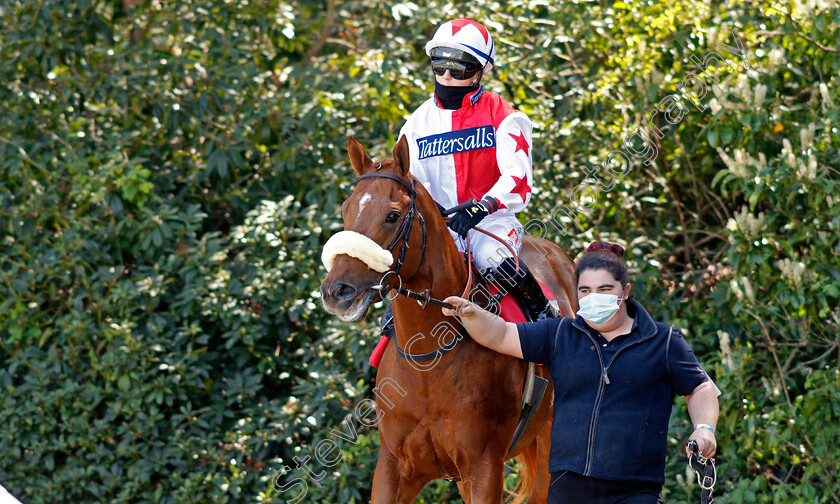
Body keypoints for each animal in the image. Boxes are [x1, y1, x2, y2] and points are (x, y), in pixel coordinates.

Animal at [320, 136, 576, 502]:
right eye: (346, 209)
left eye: (392, 215)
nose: (335, 290)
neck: (430, 357)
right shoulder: (395, 467)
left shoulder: (483, 469)